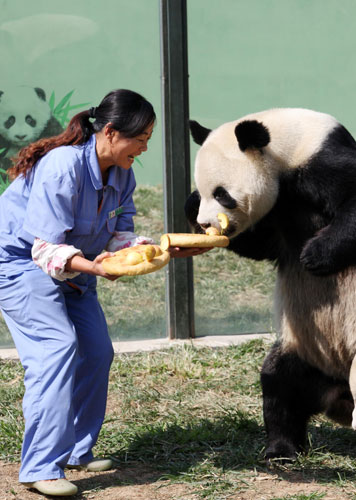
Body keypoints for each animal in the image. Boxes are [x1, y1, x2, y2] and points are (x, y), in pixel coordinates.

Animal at [185, 108, 356, 460]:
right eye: (204, 190)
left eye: (222, 193)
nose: (206, 223)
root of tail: (339, 393)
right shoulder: (279, 215)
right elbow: (258, 244)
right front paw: (189, 205)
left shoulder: (324, 161)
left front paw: (316, 255)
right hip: (306, 349)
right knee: (279, 384)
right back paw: (281, 448)